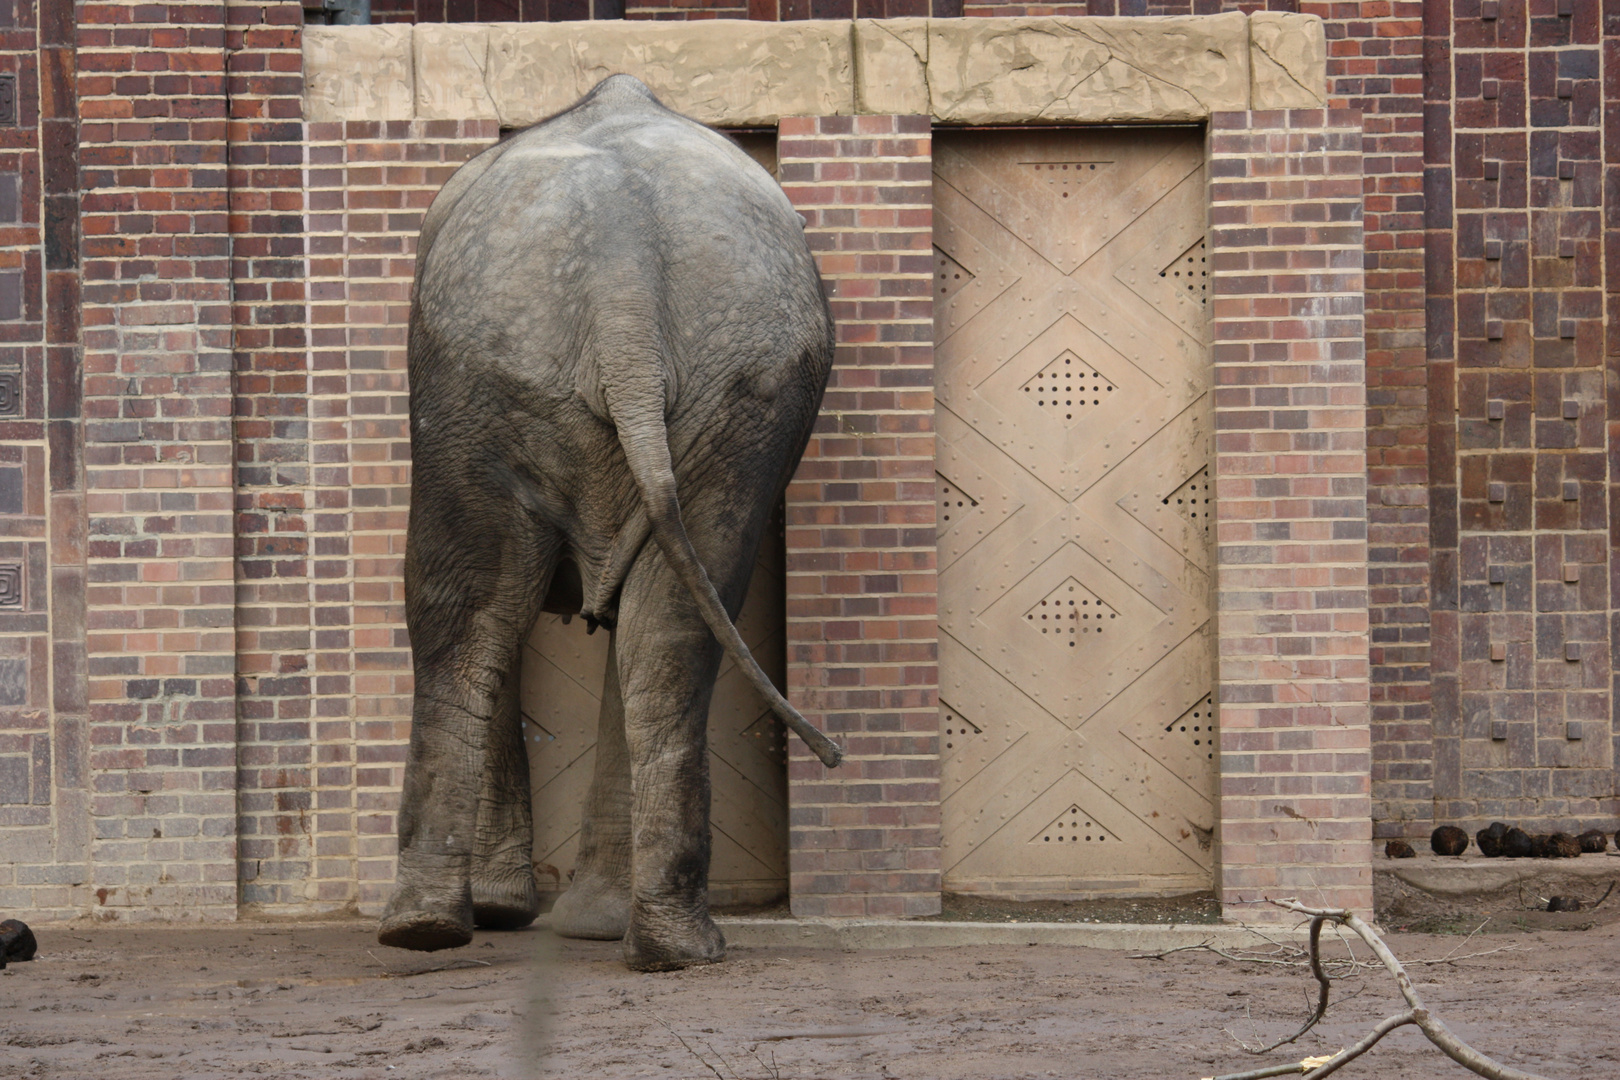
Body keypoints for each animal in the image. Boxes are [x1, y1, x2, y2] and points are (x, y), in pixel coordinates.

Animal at [374, 76, 842, 971]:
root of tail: (622, 272)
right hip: (735, 390)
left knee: (461, 610)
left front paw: (510, 910)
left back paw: (425, 930)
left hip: (485, 373)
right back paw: (674, 948)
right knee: (673, 622)